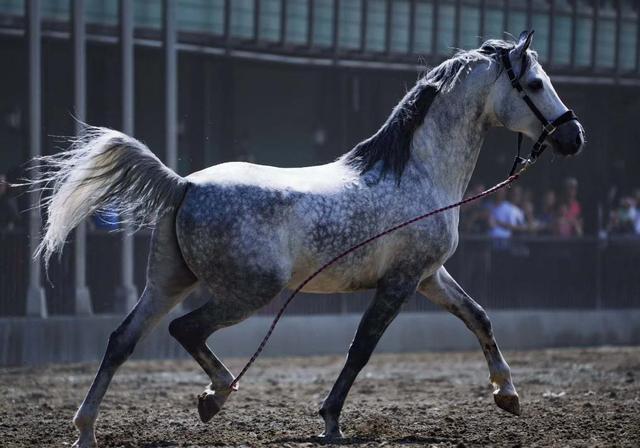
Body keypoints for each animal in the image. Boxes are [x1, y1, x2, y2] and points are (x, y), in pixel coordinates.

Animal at [35, 29, 584, 446]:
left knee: (122, 340)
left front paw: (507, 394)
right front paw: (330, 420)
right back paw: (215, 396)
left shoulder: (429, 276)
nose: (573, 136)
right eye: (535, 82)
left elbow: (479, 317)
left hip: (167, 282)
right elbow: (361, 348)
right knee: (185, 330)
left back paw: (86, 429)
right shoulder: (400, 283)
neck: (416, 173)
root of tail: (185, 184)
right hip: (249, 291)